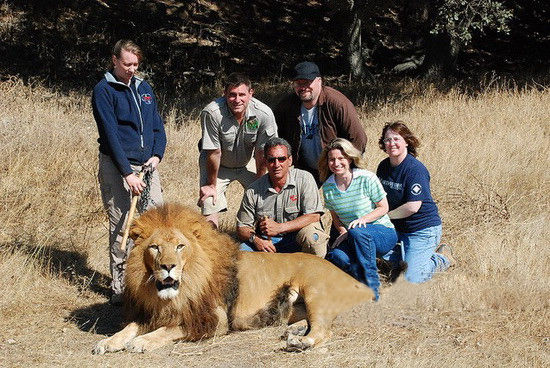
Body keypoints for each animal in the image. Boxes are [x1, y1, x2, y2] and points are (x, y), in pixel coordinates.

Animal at [94, 204, 376, 354]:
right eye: (154, 248)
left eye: (180, 246)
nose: (168, 267)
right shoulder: (152, 313)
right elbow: (129, 328)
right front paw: (107, 342)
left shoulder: (213, 319)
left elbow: (170, 330)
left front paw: (141, 342)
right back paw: (291, 330)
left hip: (316, 292)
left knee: (323, 331)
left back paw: (299, 342)